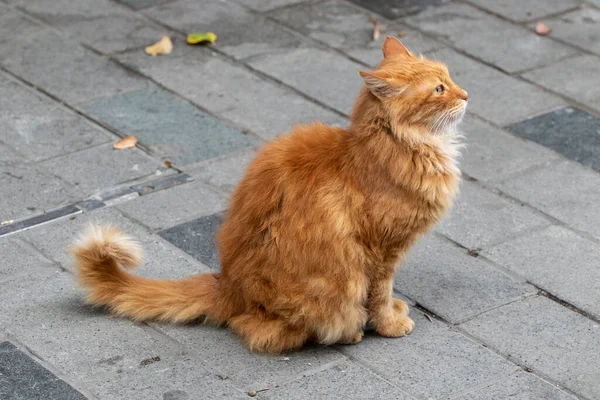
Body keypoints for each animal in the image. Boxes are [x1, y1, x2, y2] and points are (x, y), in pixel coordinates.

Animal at [71, 38, 468, 354]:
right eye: (438, 89)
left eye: (451, 79)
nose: (466, 95)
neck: (402, 146)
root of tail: (228, 283)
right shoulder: (382, 250)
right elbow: (380, 296)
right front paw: (389, 325)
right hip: (334, 284)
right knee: (263, 330)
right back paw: (348, 333)